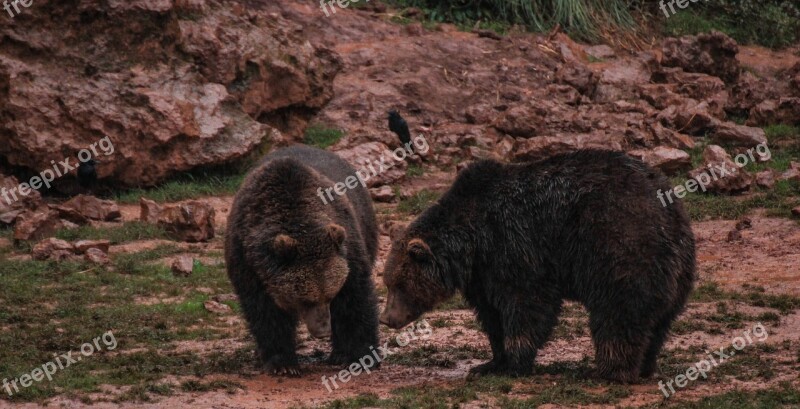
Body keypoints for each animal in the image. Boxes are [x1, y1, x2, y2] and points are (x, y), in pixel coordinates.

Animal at [222, 145, 378, 374]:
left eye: (330, 296)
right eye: (305, 300)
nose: (323, 330)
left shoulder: (348, 247)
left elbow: (355, 299)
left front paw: (360, 355)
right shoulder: (247, 261)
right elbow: (265, 313)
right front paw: (283, 363)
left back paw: (338, 354)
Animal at [380, 150, 692, 382]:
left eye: (399, 284)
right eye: (388, 282)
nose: (386, 318)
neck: (471, 243)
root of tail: (668, 207)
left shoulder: (515, 245)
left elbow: (527, 305)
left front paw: (515, 361)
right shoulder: (482, 273)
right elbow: (492, 315)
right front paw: (489, 363)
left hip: (618, 242)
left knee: (619, 309)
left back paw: (608, 370)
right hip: (678, 270)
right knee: (660, 320)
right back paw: (645, 365)